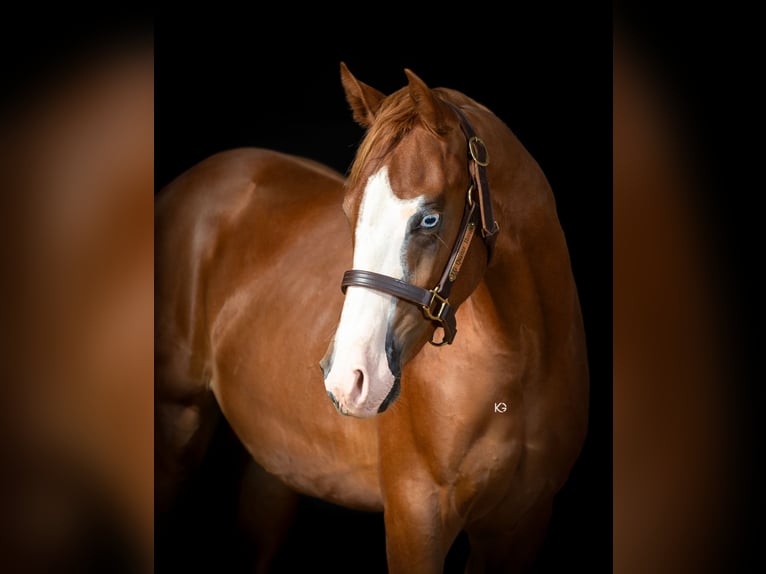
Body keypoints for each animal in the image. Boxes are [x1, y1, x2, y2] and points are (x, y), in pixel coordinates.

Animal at [155, 62, 589, 573]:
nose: (350, 378)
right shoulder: (415, 517)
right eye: (350, 211)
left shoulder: (522, 524)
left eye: (429, 219)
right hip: (175, 425)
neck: (520, 365)